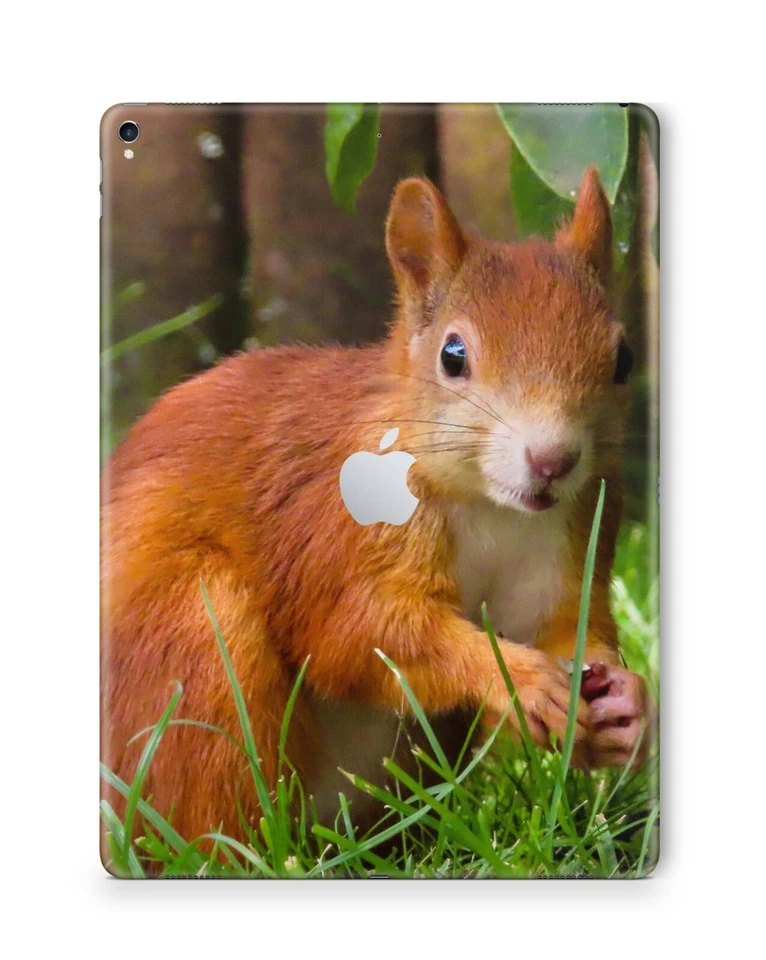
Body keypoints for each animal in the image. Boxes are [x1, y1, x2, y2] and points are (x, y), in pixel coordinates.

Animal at [101, 166, 651, 848]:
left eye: (624, 358)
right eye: (453, 355)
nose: (553, 460)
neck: (490, 506)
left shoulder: (573, 528)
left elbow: (564, 625)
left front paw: (629, 703)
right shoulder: (332, 524)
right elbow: (358, 630)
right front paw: (517, 679)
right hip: (187, 636)